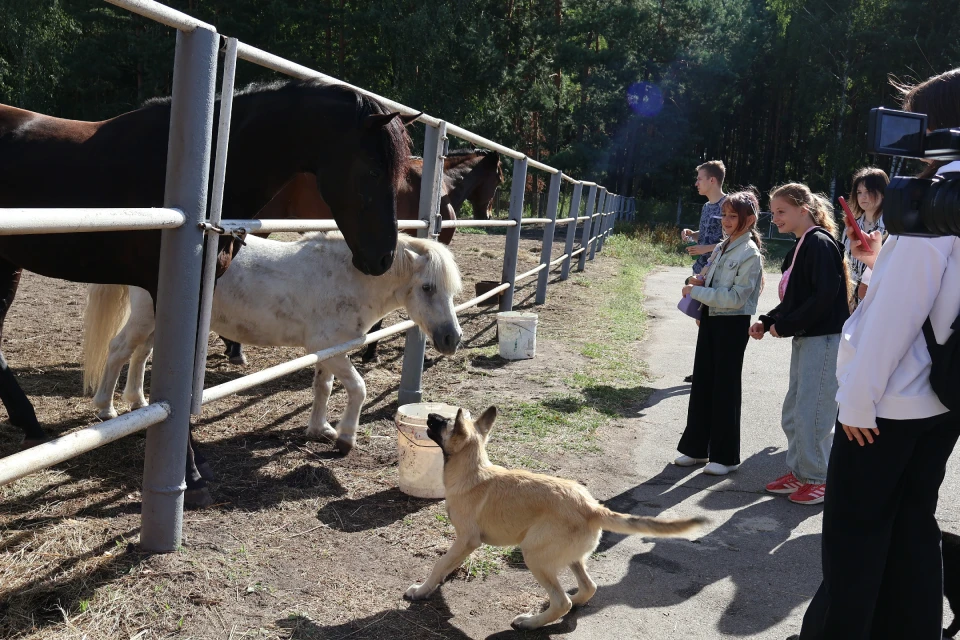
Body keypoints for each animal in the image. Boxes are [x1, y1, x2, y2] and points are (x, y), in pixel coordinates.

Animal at [84, 232, 466, 452]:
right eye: (427, 287)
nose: (452, 339)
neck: (349, 277)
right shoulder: (331, 348)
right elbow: (358, 388)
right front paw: (345, 437)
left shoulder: (327, 350)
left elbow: (323, 387)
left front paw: (320, 429)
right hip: (143, 319)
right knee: (118, 350)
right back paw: (106, 408)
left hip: (155, 323)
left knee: (140, 354)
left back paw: (138, 402)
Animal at [402, 408, 708, 628]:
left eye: (443, 422)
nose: (430, 415)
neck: (473, 471)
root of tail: (592, 507)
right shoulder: (465, 544)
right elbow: (448, 563)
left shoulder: (467, 539)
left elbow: (439, 564)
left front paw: (421, 590)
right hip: (571, 557)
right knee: (588, 588)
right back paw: (569, 602)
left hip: (534, 555)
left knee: (562, 603)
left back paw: (530, 623)